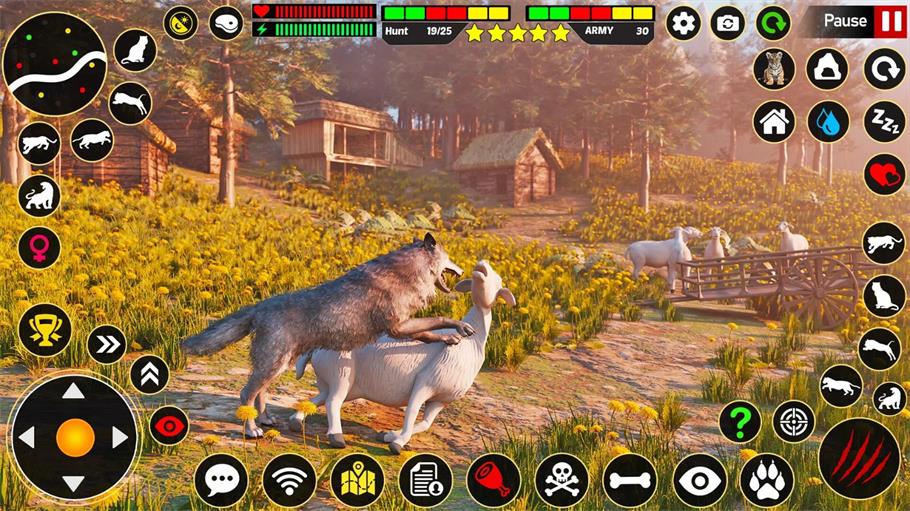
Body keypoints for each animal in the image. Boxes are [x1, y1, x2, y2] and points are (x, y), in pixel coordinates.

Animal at [182, 233, 474, 437]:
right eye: (450, 257)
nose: (462, 270)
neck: (407, 272)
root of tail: (260, 306)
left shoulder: (401, 327)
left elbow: (429, 332)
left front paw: (451, 337)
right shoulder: (398, 327)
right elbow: (438, 320)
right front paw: (458, 329)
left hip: (278, 366)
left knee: (259, 392)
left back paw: (264, 419)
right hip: (274, 365)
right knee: (245, 393)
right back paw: (252, 429)